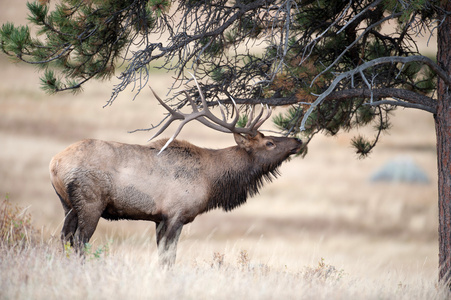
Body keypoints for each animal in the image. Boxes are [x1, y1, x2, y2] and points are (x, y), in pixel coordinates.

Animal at [50, 81, 304, 266]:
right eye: (270, 143)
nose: (298, 140)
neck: (212, 180)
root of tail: (54, 163)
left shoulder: (159, 218)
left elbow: (162, 255)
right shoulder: (176, 213)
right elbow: (169, 257)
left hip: (67, 203)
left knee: (64, 237)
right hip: (90, 201)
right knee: (80, 241)